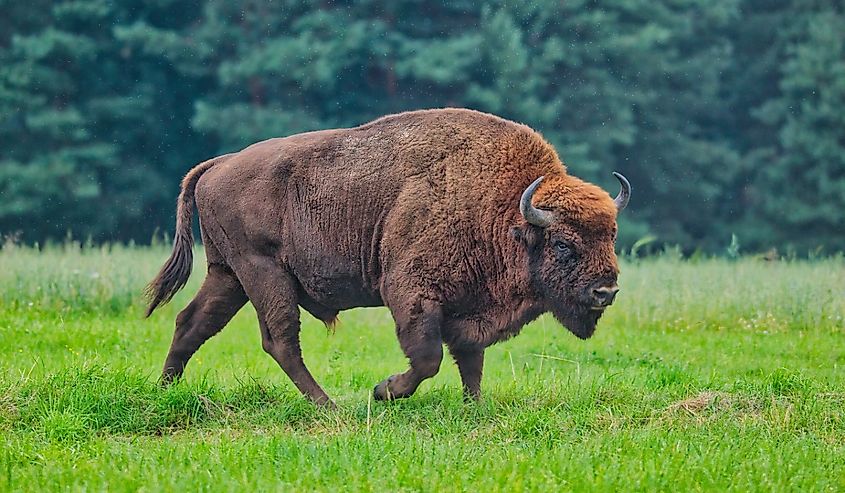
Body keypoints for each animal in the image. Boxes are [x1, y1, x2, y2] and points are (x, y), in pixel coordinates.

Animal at [144, 108, 630, 406]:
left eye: (611, 235)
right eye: (563, 244)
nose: (606, 291)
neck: (505, 209)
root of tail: (219, 163)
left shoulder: (468, 310)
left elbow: (470, 360)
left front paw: (475, 406)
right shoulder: (411, 294)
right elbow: (428, 358)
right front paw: (383, 391)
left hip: (228, 275)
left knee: (192, 322)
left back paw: (164, 388)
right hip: (263, 274)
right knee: (279, 339)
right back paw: (329, 406)